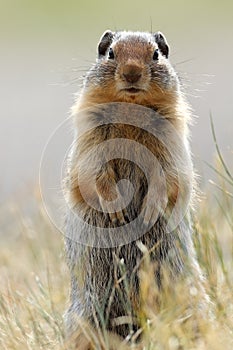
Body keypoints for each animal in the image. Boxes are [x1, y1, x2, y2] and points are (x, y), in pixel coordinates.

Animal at [64, 30, 208, 342]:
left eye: (156, 54)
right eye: (111, 53)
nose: (132, 72)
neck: (131, 111)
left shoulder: (171, 142)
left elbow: (170, 176)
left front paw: (149, 210)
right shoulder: (90, 139)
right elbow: (91, 173)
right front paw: (116, 210)